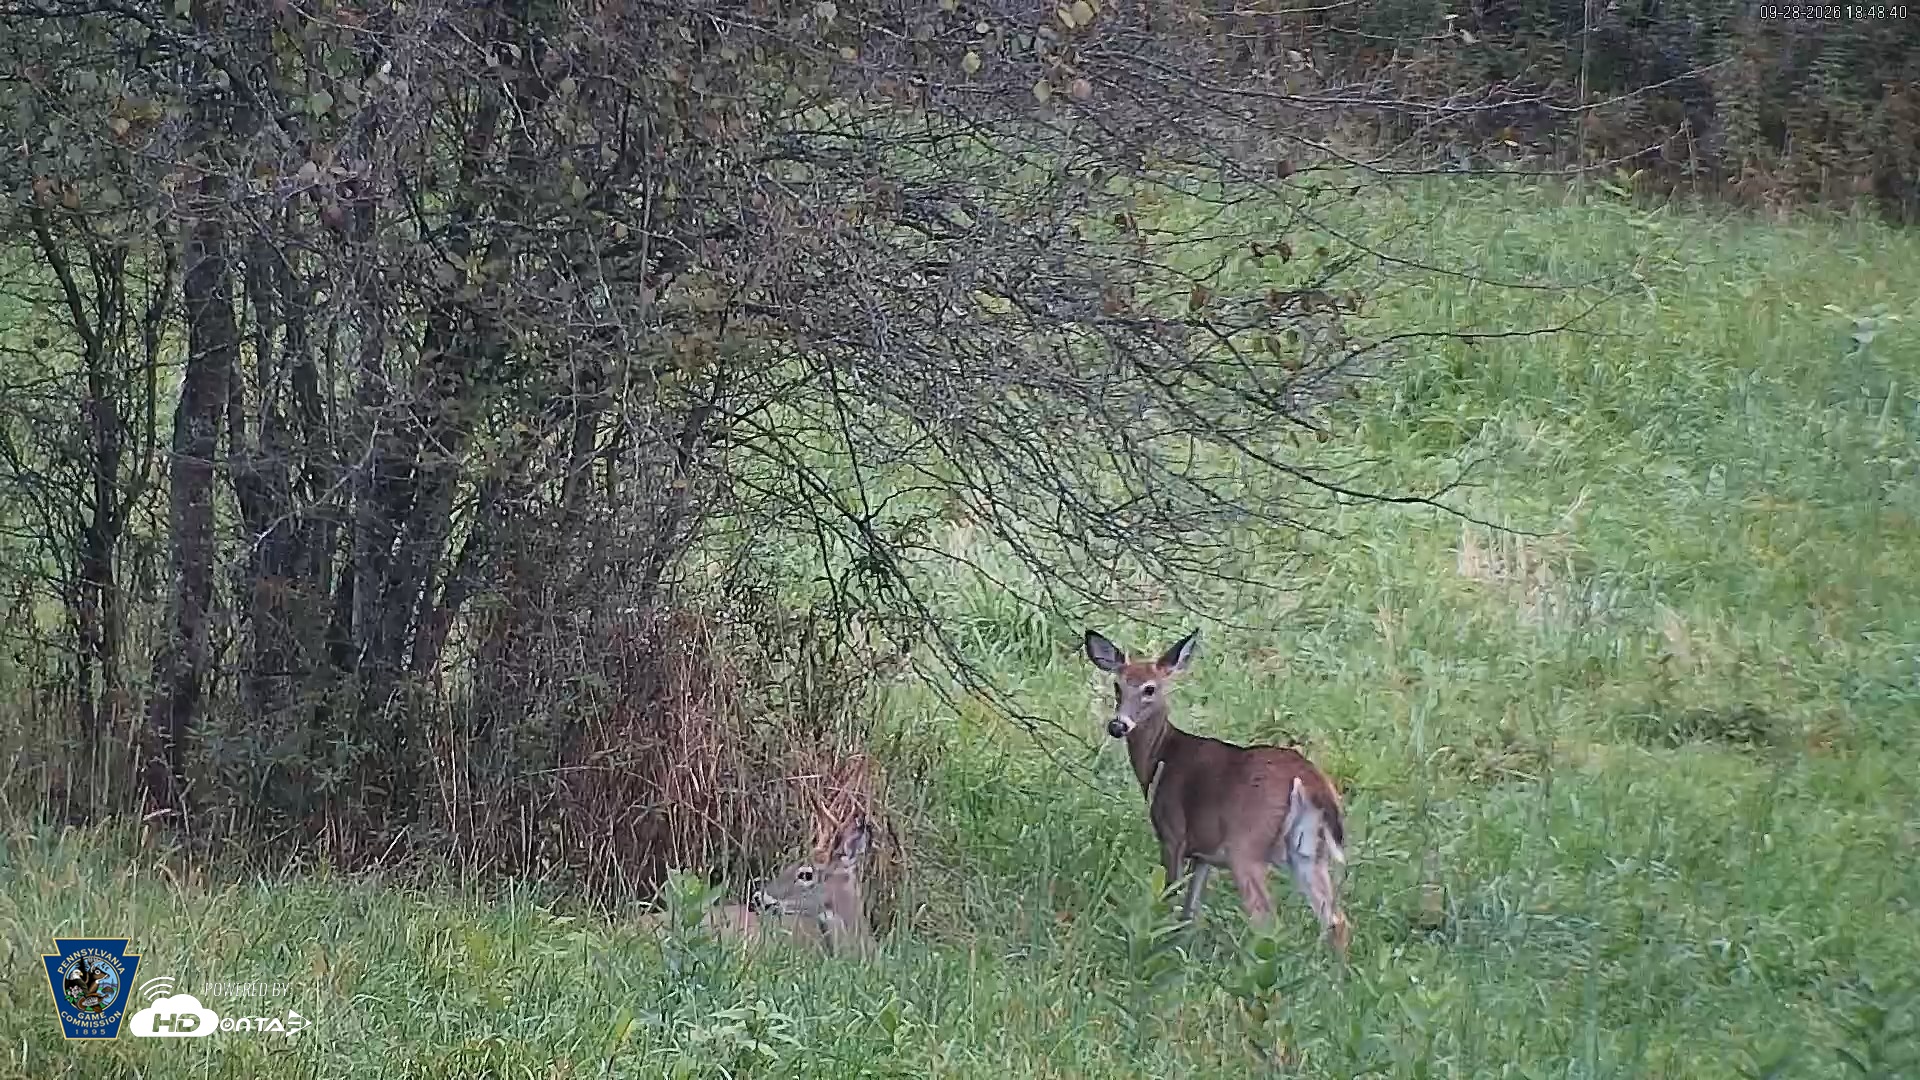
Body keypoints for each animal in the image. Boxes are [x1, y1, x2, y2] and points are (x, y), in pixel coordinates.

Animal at [1085, 628, 1352, 955]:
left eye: (1149, 689)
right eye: (1117, 685)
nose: (1117, 725)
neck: (1163, 755)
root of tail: (1310, 780)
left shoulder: (1173, 833)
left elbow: (1170, 897)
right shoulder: (1204, 854)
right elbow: (1190, 912)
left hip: (1247, 845)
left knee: (1267, 918)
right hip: (1308, 850)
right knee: (1336, 921)